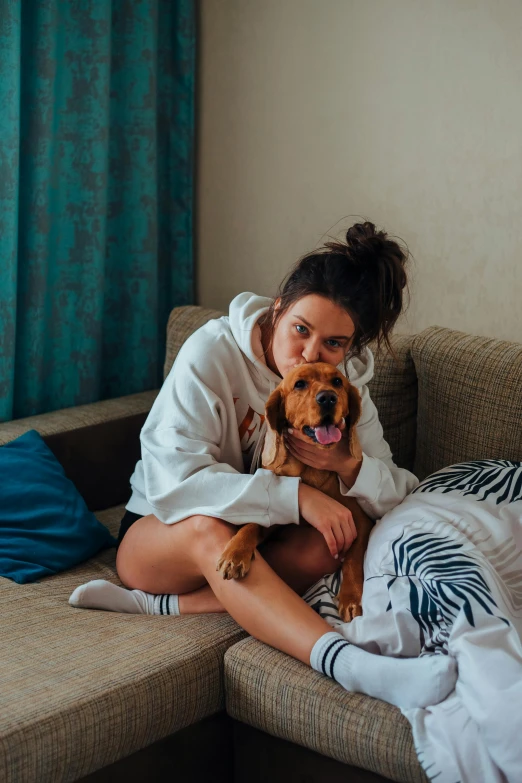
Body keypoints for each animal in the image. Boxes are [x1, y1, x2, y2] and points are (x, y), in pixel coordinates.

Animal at [215, 362, 374, 624]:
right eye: (299, 384)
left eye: (337, 382)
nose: (327, 397)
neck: (308, 471)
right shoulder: (276, 521)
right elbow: (251, 525)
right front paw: (236, 552)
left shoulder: (361, 521)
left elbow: (352, 559)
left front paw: (350, 597)